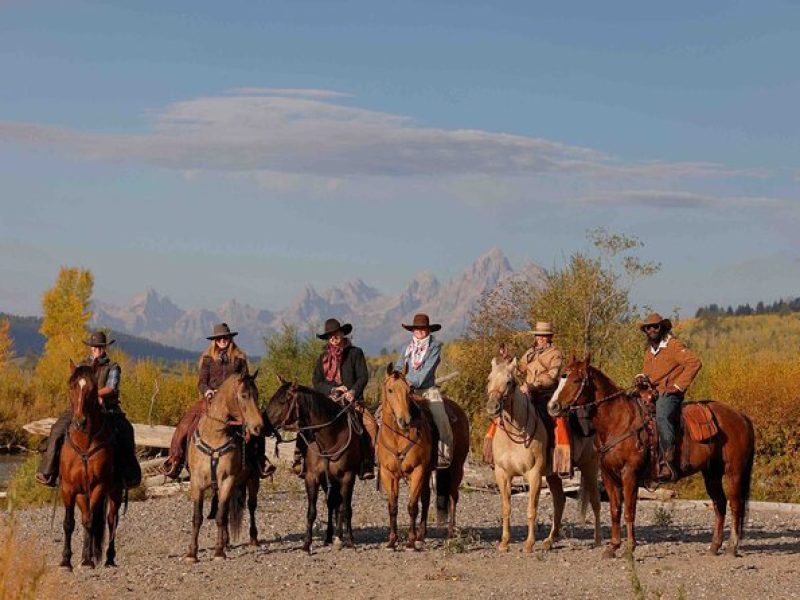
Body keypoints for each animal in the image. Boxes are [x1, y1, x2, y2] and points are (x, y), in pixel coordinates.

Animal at [59, 358, 123, 568]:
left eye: (92, 388)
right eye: (71, 386)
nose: (80, 422)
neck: (84, 443)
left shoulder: (98, 486)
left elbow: (91, 521)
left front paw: (87, 560)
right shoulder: (69, 488)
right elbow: (69, 523)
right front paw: (66, 560)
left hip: (115, 491)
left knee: (111, 521)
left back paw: (109, 558)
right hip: (81, 493)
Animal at [185, 370, 266, 564]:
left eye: (257, 394)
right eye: (243, 395)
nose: (259, 427)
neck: (214, 435)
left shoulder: (227, 480)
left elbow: (220, 516)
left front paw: (218, 551)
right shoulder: (197, 482)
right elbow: (197, 517)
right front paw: (192, 553)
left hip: (253, 480)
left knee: (251, 506)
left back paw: (253, 539)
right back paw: (227, 541)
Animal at [264, 380, 360, 552]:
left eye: (282, 401)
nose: (263, 425)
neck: (329, 438)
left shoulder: (348, 477)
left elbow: (346, 509)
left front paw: (348, 540)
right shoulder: (312, 477)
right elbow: (312, 512)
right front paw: (307, 544)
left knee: (341, 506)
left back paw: (341, 537)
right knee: (332, 504)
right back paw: (329, 537)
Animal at [378, 364, 472, 552]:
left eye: (409, 391)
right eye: (390, 390)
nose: (405, 420)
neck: (398, 436)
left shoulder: (417, 471)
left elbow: (412, 506)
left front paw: (410, 542)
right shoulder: (388, 474)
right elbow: (393, 507)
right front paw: (392, 541)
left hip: (456, 468)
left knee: (453, 497)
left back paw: (450, 533)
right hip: (429, 471)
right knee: (427, 497)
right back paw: (422, 535)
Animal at [552, 356, 756, 556]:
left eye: (575, 380)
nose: (552, 406)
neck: (619, 421)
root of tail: (741, 416)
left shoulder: (630, 475)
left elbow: (629, 510)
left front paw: (630, 547)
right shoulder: (609, 477)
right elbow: (614, 510)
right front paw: (613, 547)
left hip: (733, 472)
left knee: (735, 505)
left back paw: (731, 547)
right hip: (711, 473)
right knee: (719, 504)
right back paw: (714, 546)